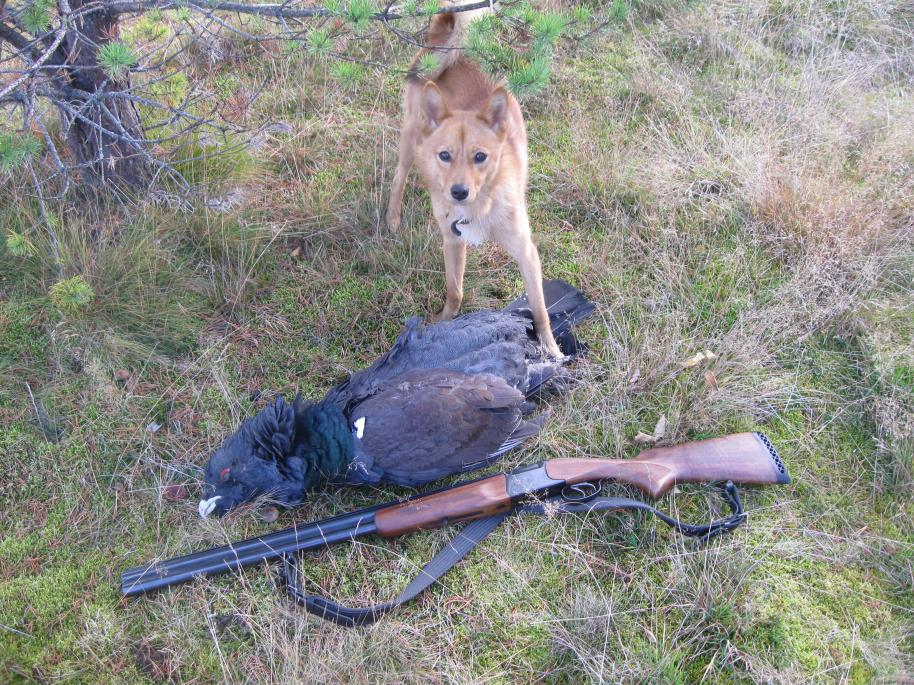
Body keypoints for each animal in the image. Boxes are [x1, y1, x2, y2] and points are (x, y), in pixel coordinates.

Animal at [385, 6, 564, 358]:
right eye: (445, 155)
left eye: (480, 157)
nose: (458, 192)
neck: (481, 204)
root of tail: (451, 42)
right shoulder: (452, 243)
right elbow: (455, 290)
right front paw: (442, 324)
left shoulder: (526, 252)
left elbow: (539, 308)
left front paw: (550, 347)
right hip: (411, 140)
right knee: (399, 176)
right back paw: (393, 218)